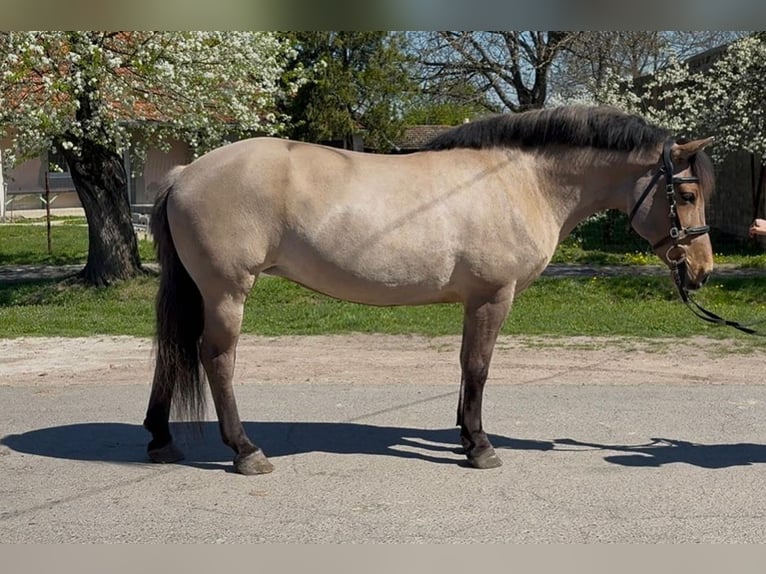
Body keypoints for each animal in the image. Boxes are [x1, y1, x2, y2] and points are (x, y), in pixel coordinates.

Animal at [143, 105, 715, 475]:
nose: (703, 269)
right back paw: (245, 450)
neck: (521, 181)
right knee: (216, 359)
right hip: (226, 291)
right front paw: (481, 447)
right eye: (686, 194)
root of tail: (184, 172)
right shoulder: (493, 296)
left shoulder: (475, 301)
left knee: (173, 353)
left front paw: (464, 436)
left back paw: (161, 439)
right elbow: (479, 368)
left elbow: (465, 367)